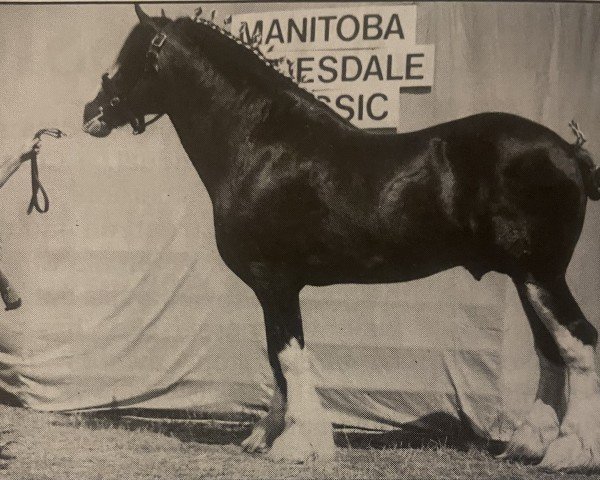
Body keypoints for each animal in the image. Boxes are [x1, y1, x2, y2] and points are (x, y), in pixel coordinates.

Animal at [83, 7, 600, 470]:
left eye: (131, 58)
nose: (91, 111)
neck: (262, 144)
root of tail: (570, 151)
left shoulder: (275, 280)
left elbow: (288, 357)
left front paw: (296, 445)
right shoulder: (274, 288)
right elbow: (278, 358)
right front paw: (268, 436)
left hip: (541, 274)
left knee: (579, 342)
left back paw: (569, 453)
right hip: (527, 278)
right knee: (550, 350)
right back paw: (527, 447)